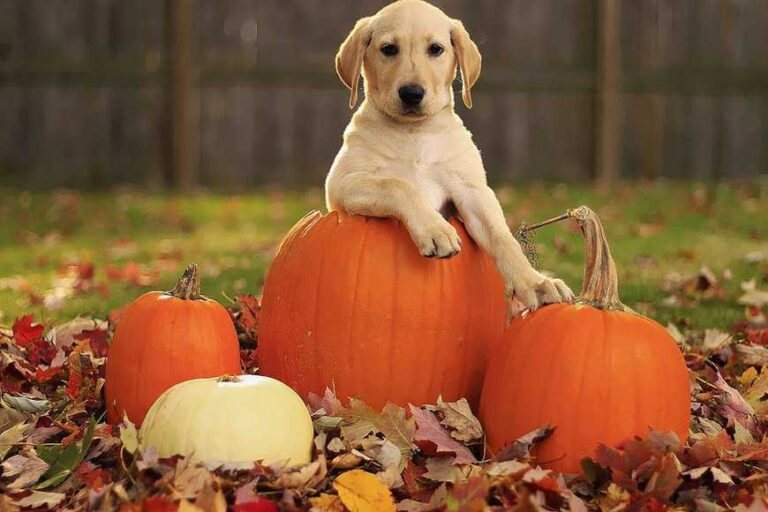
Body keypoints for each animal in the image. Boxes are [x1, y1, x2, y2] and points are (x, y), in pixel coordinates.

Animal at [324, 0, 568, 308]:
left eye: (436, 49)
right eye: (389, 49)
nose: (412, 93)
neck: (414, 133)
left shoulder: (472, 191)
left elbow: (501, 236)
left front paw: (535, 283)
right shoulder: (341, 184)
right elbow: (397, 184)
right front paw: (435, 230)